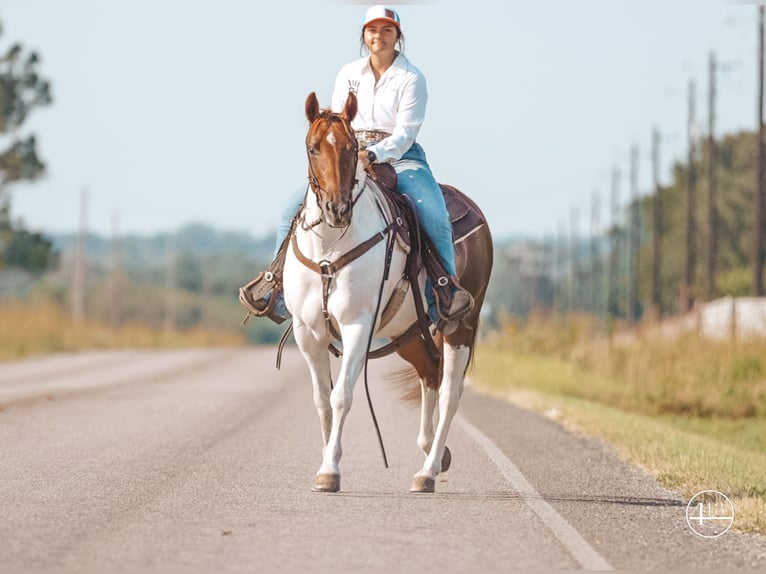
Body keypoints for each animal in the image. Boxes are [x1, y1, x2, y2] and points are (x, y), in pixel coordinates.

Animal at [284, 91, 498, 496]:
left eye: (352, 149)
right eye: (312, 148)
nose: (337, 210)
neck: (330, 247)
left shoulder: (357, 325)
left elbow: (341, 395)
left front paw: (330, 471)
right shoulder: (308, 333)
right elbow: (321, 400)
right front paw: (325, 461)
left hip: (460, 326)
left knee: (449, 391)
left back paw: (428, 471)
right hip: (408, 334)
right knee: (430, 375)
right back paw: (434, 454)